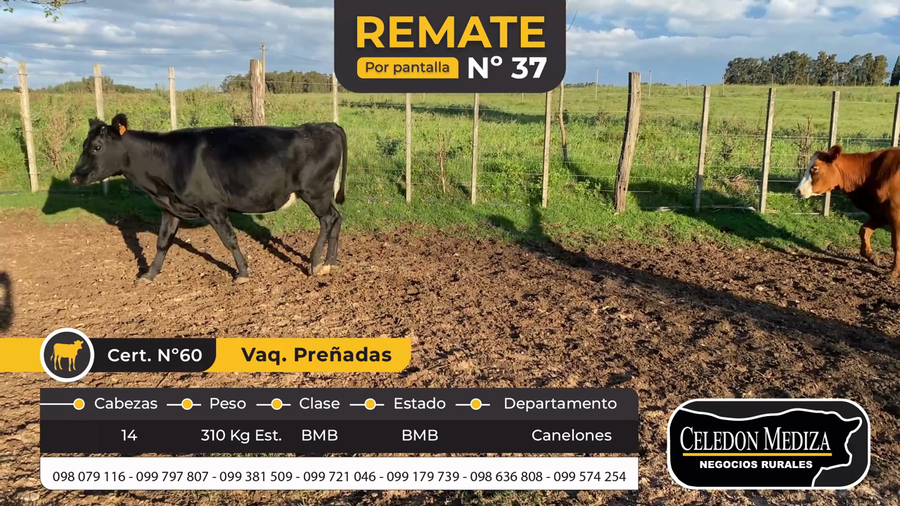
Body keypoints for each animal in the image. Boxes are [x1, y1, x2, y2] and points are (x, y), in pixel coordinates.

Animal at [69, 113, 348, 283]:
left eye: (97, 147)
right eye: (84, 145)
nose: (74, 177)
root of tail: (326, 125)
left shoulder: (212, 206)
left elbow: (229, 239)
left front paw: (242, 272)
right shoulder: (169, 208)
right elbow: (162, 242)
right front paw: (149, 274)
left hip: (315, 192)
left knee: (328, 220)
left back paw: (315, 263)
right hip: (321, 194)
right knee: (336, 218)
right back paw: (330, 263)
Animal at [795, 144, 900, 277]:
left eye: (814, 168)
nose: (798, 190)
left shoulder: (895, 214)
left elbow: (897, 243)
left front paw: (894, 271)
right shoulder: (880, 212)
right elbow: (864, 230)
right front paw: (871, 255)